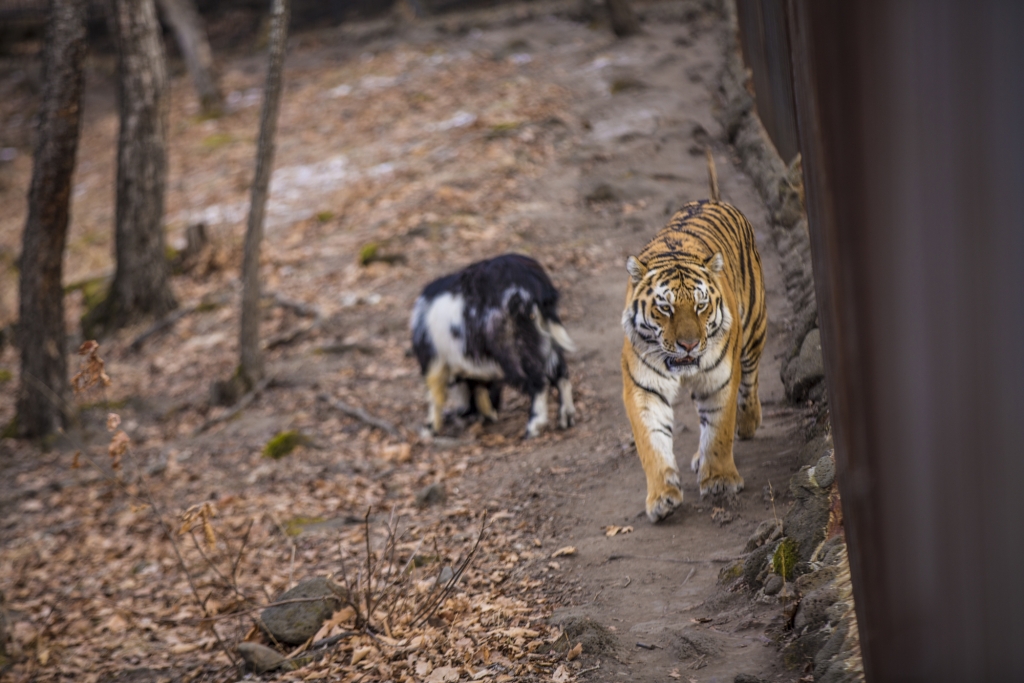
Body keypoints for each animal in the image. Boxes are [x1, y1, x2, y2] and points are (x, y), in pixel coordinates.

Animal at [411, 254, 581, 438]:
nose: (462, 413)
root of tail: (531, 280)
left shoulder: (433, 361)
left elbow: (435, 393)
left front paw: (429, 429)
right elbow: (479, 388)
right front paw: (487, 415)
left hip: (512, 346)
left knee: (538, 382)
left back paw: (532, 428)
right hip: (545, 338)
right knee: (561, 373)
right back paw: (566, 418)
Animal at [618, 152, 765, 520]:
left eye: (700, 306)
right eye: (665, 308)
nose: (689, 344)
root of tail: (712, 199)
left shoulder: (720, 378)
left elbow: (719, 429)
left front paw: (720, 480)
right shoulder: (644, 388)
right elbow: (651, 443)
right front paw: (662, 496)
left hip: (755, 329)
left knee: (750, 379)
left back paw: (748, 423)